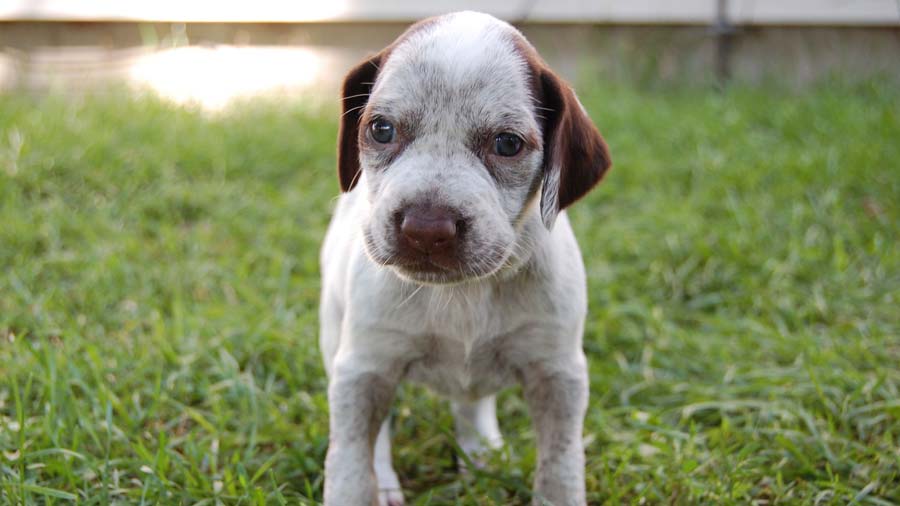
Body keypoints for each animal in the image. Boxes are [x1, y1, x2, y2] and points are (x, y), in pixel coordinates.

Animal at [318, 11, 612, 506]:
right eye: (381, 130)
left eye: (508, 143)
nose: (425, 230)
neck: (462, 292)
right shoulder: (365, 368)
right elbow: (352, 465)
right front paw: (364, 487)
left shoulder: (558, 374)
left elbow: (560, 466)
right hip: (336, 336)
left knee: (472, 403)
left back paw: (481, 455)